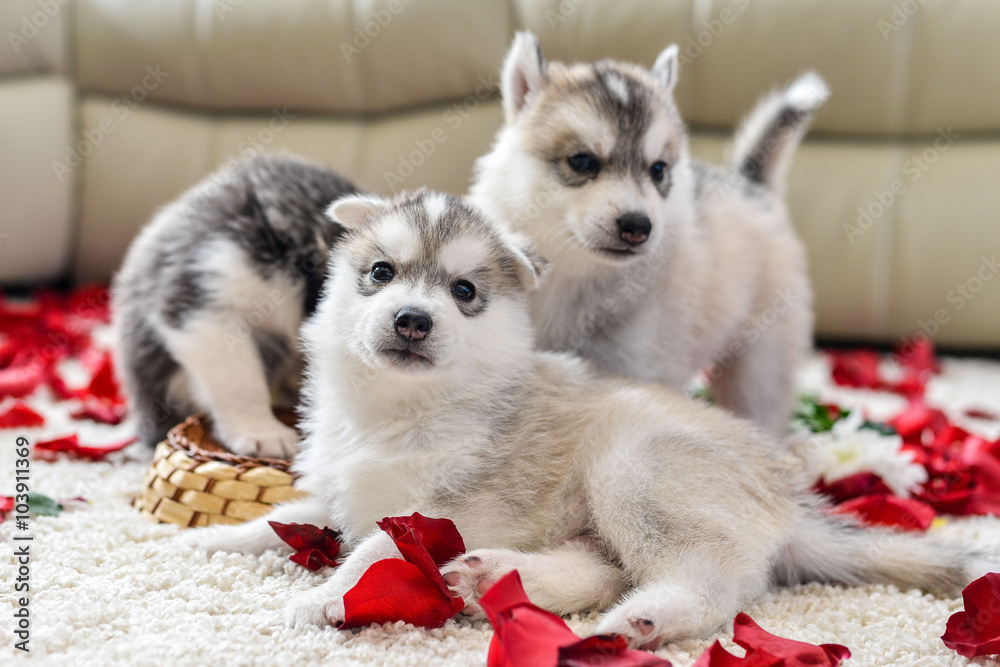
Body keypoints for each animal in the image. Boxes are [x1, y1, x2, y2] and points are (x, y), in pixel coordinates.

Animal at [184, 190, 988, 648]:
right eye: (381, 273)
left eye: (465, 291)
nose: (412, 319)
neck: (399, 409)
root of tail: (789, 500)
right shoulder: (343, 486)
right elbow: (285, 516)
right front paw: (213, 538)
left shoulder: (449, 504)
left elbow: (372, 555)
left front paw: (323, 597)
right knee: (601, 568)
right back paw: (489, 577)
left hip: (638, 471)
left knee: (710, 580)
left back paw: (646, 619)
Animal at [468, 34, 828, 436]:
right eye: (582, 161)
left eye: (658, 170)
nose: (638, 227)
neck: (574, 273)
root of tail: (751, 185)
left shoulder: (639, 368)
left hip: (760, 362)